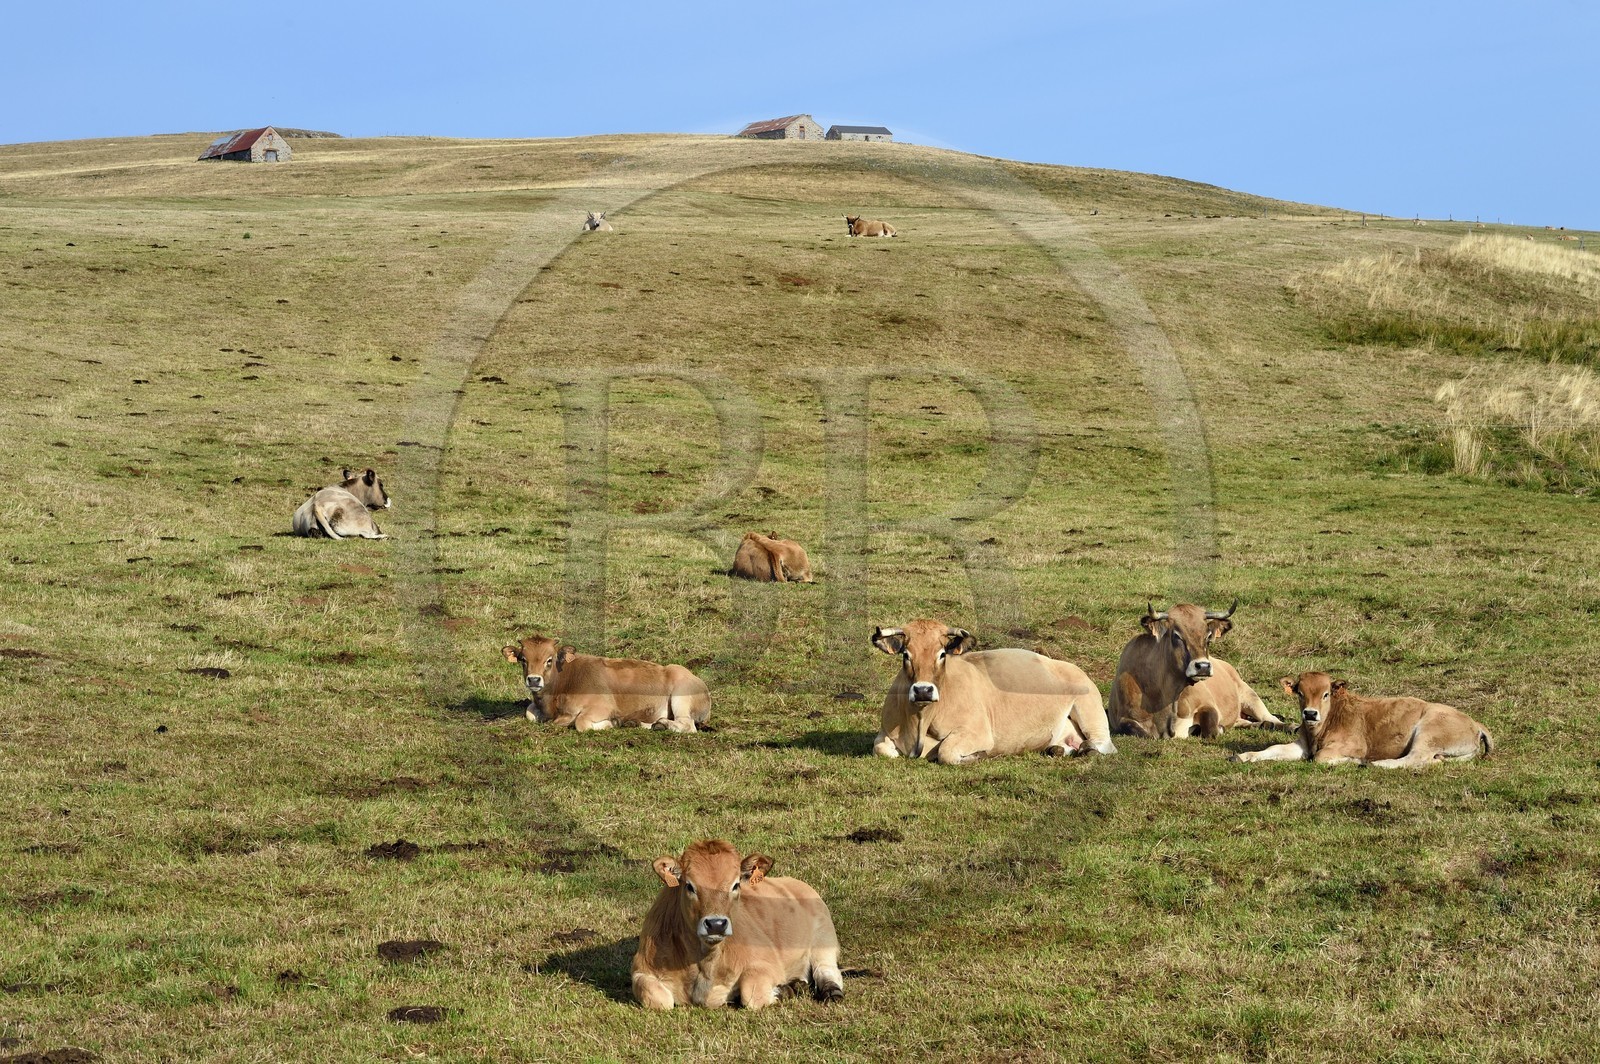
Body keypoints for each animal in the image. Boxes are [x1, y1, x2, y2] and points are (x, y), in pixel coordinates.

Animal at [500, 635, 709, 732]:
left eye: (549, 660)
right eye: (523, 660)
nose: (534, 679)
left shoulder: (603, 706)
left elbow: (581, 722)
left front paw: (612, 722)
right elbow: (529, 713)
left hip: (681, 696)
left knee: (688, 725)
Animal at [631, 839, 844, 1010]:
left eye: (736, 885)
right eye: (689, 886)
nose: (716, 924)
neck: (705, 964)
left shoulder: (766, 963)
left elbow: (752, 995)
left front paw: (783, 991)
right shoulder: (641, 970)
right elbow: (659, 1000)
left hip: (824, 938)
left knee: (827, 971)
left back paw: (830, 992)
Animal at [870, 619, 1116, 763]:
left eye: (941, 654)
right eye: (906, 654)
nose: (923, 691)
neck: (920, 722)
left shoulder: (977, 732)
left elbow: (946, 752)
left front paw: (978, 755)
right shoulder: (885, 733)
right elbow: (881, 748)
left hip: (1089, 709)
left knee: (1103, 744)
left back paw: (1087, 749)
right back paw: (1056, 750)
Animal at [1107, 599, 1238, 739]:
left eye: (1208, 636)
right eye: (1177, 635)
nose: (1203, 666)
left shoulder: (1207, 704)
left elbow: (1211, 729)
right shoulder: (1123, 719)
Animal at [1231, 671, 1494, 768]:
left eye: (1326, 693)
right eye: (1300, 693)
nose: (1310, 714)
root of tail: (1475, 723)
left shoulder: (1353, 745)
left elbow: (1321, 758)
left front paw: (1354, 760)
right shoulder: (1300, 746)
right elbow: (1273, 749)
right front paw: (1242, 756)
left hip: (1427, 732)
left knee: (1415, 758)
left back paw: (1374, 764)